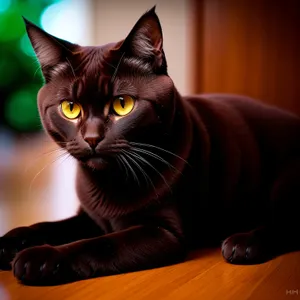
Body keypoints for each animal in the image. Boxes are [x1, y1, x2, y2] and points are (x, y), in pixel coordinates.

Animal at [0, 5, 300, 284]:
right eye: (70, 108)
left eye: (123, 104)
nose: (92, 138)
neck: (109, 183)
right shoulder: (89, 217)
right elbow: (49, 226)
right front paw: (10, 242)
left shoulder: (162, 232)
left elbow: (97, 245)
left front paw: (39, 258)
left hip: (286, 182)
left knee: (287, 223)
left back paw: (243, 244)